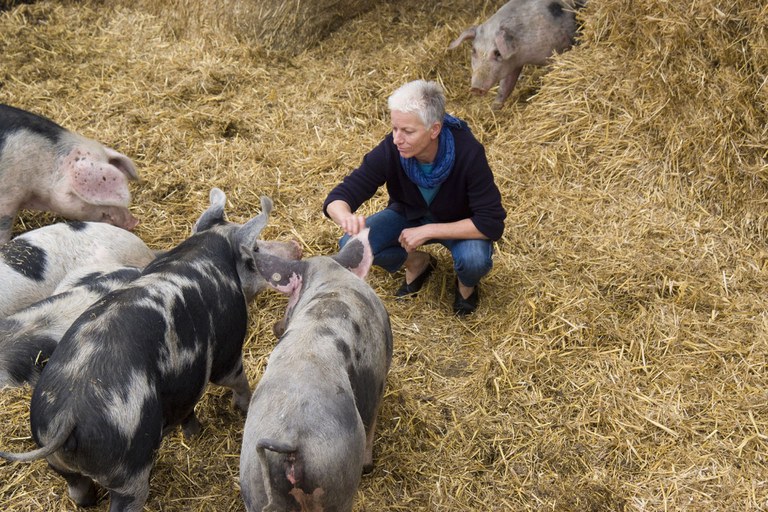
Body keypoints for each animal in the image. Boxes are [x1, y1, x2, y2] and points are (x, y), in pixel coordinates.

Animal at [240, 230, 392, 512]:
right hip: (337, 479)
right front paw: (369, 465)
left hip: (253, 483)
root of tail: (290, 441)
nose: (277, 327)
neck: (331, 277)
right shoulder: (379, 380)